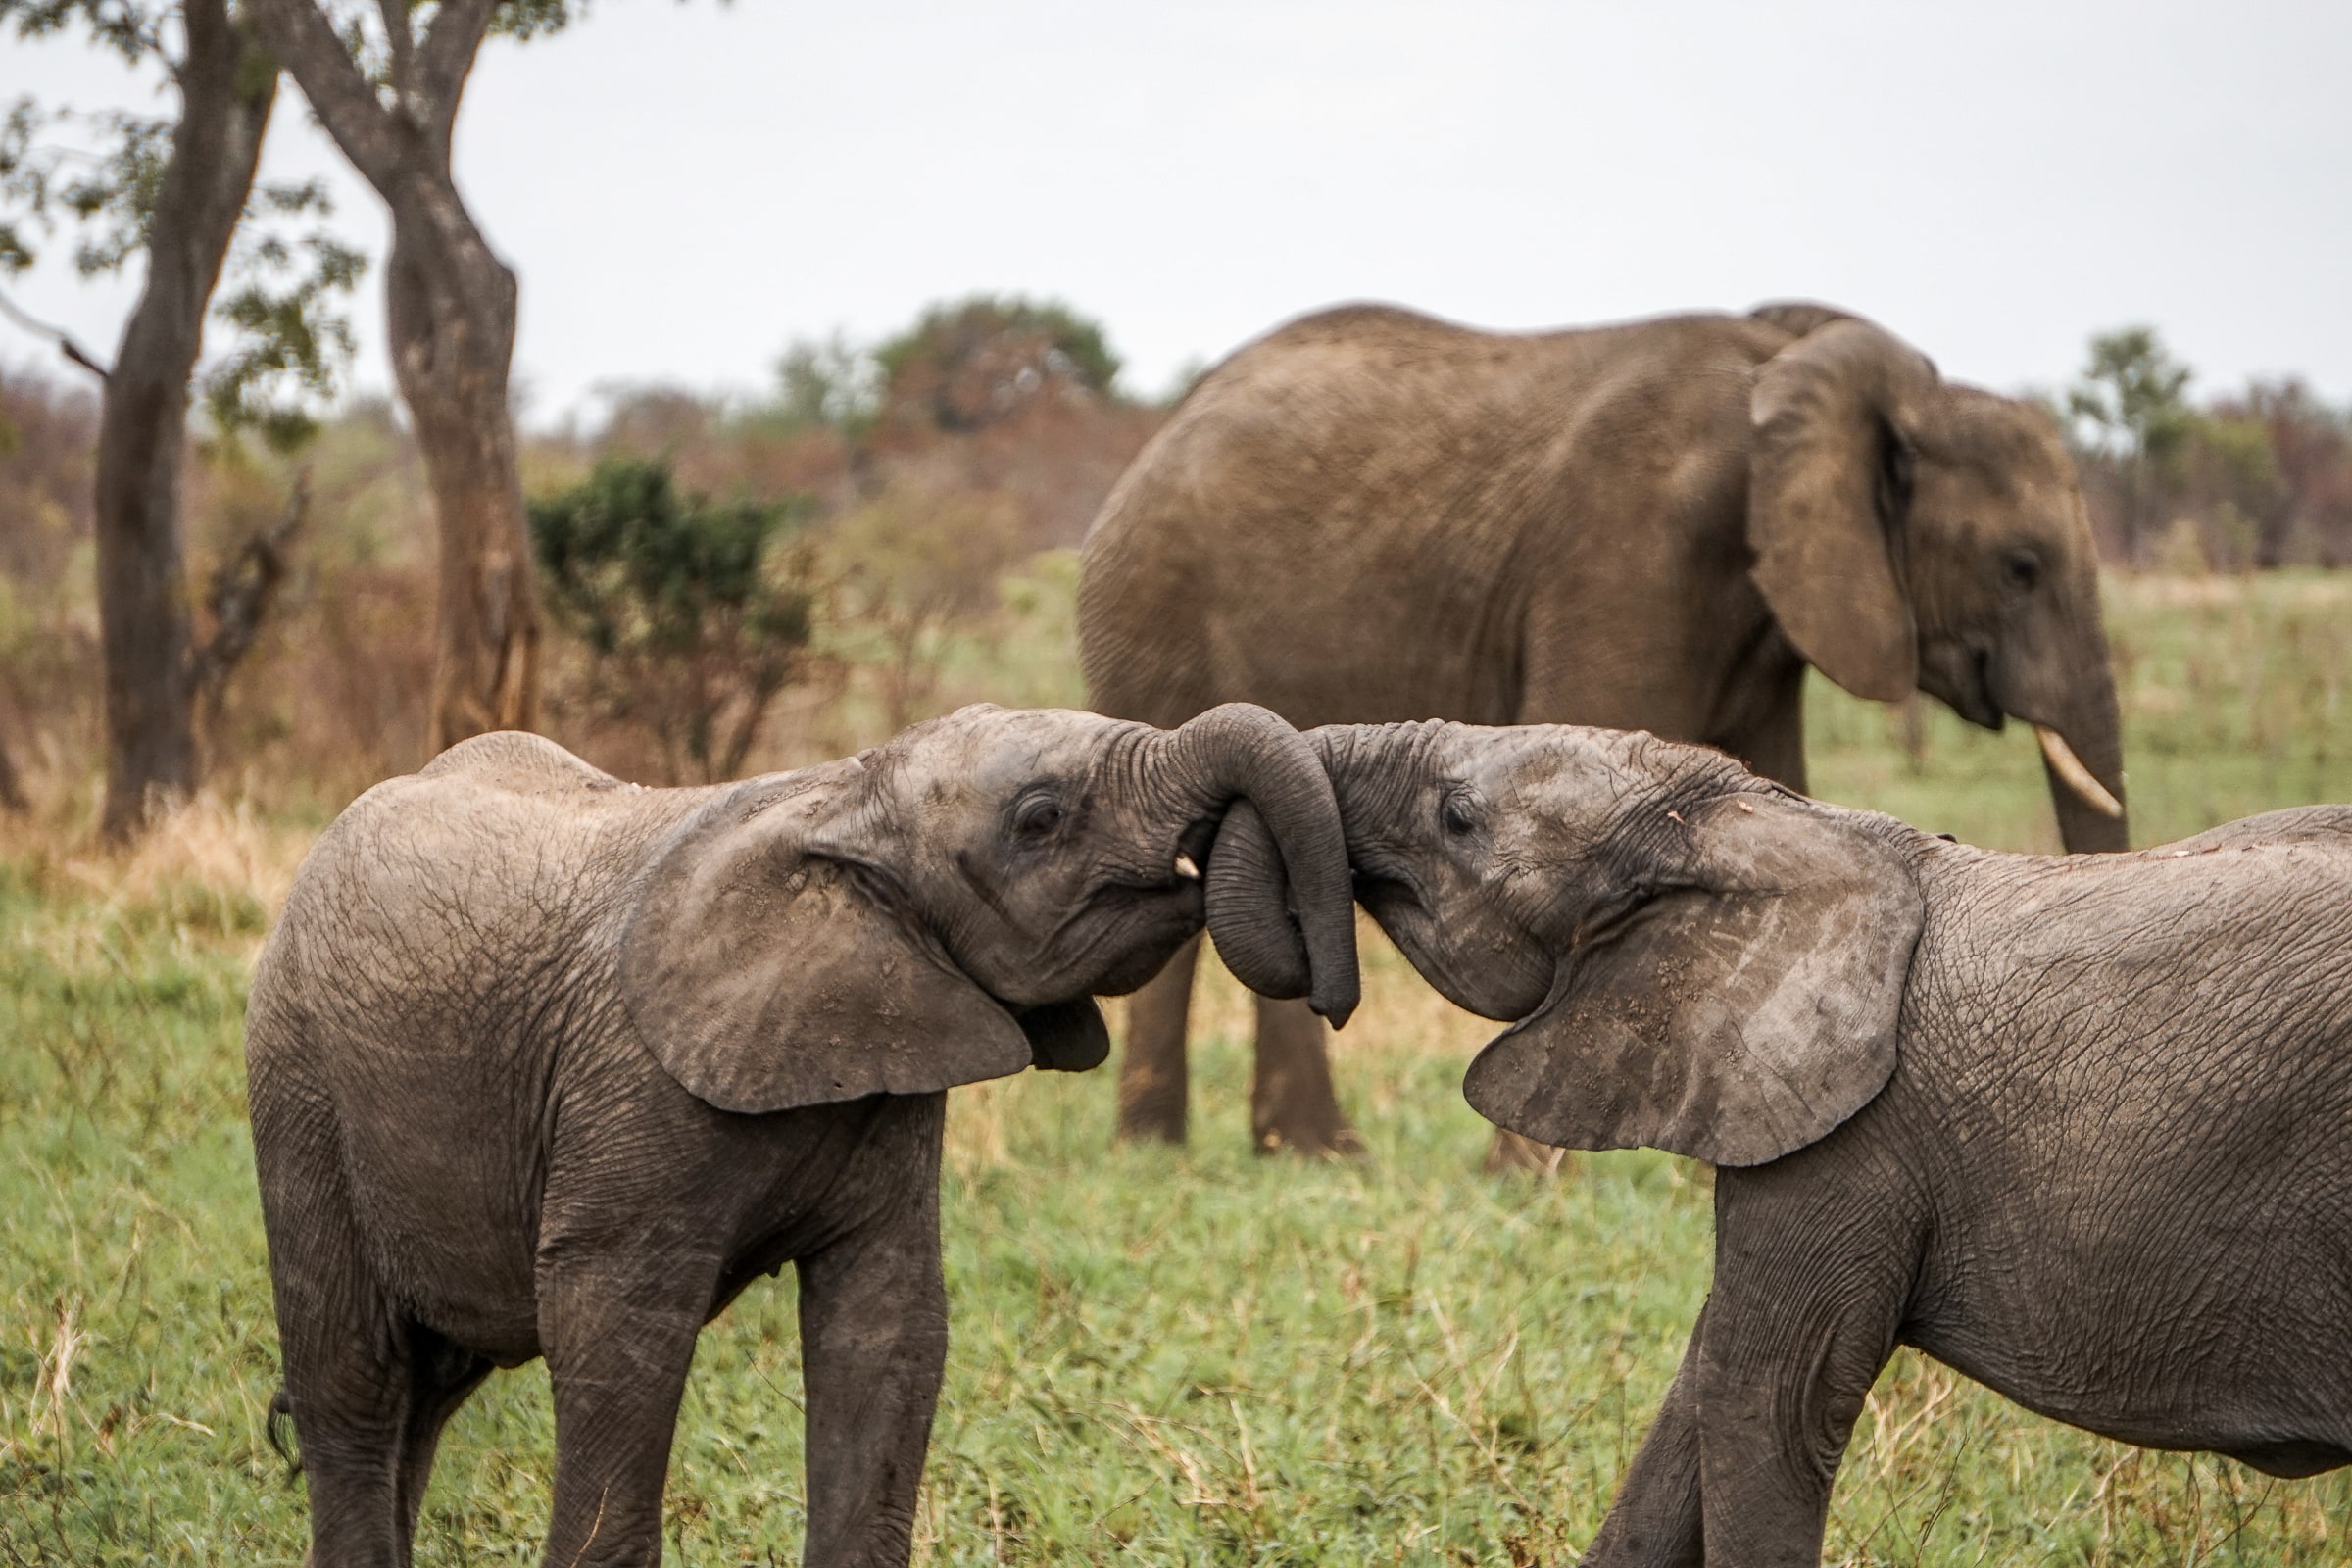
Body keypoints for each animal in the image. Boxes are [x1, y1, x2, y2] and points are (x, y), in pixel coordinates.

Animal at [243, 704, 1357, 1568]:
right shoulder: (631, 1082)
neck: (846, 795)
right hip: (297, 1082)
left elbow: (889, 1326)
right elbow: (614, 1331)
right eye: (1041, 819)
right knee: (354, 1382)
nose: (1332, 990)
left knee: (425, 1395)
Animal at [1078, 299, 2129, 1161]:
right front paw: (1536, 1180)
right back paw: (1216, 1153)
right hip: (1153, 621)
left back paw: (1254, 1154)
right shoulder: (1634, 546)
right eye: (2022, 567)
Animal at [1265, 717, 2350, 1565]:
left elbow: (1772, 1404)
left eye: (1457, 817)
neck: (1764, 820)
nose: (1324, 985)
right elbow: (1697, 1400)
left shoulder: (1850, 1139)